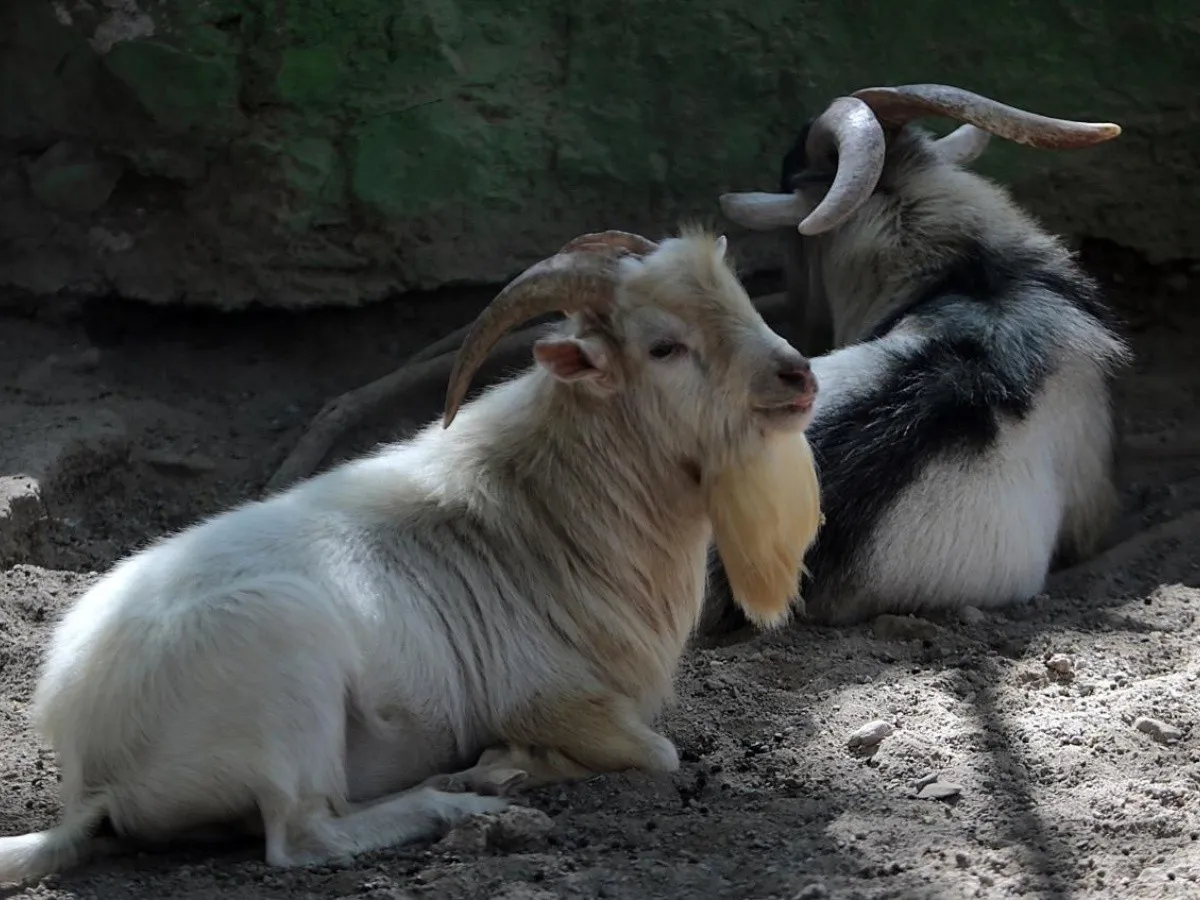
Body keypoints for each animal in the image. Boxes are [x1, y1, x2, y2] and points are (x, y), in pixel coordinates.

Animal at [0, 228, 822, 884]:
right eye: (664, 345)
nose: (799, 375)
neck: (539, 511)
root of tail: (93, 764)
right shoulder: (556, 700)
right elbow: (660, 756)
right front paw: (507, 763)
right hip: (287, 683)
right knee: (302, 837)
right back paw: (457, 798)